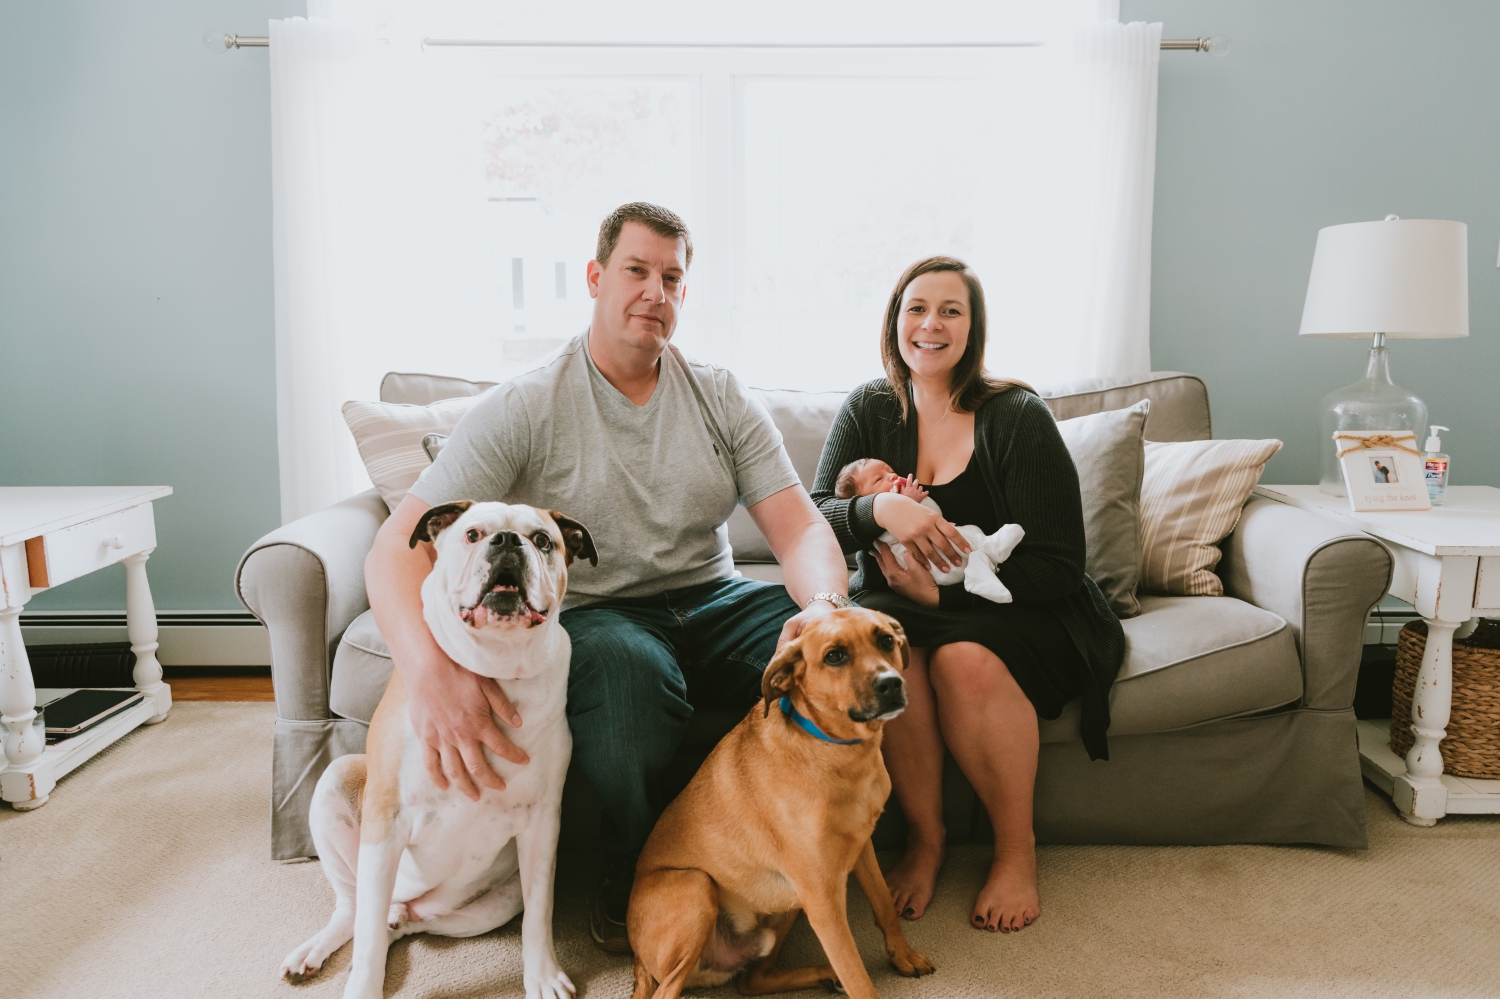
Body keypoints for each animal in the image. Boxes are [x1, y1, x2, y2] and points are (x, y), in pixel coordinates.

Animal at [624, 605, 930, 995]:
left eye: (886, 640)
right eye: (835, 656)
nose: (891, 684)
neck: (840, 752)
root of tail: (636, 958)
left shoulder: (862, 848)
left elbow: (885, 907)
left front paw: (903, 956)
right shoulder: (823, 900)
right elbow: (857, 976)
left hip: (785, 904)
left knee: (753, 980)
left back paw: (824, 975)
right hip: (698, 887)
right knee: (669, 990)